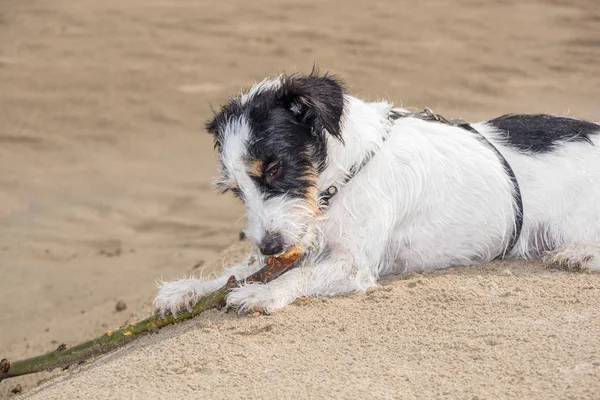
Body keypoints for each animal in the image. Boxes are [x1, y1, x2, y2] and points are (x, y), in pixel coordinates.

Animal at [154, 72, 600, 316]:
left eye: (275, 168)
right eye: (235, 189)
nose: (269, 245)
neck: (343, 177)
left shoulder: (352, 264)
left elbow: (299, 275)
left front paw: (262, 292)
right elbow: (240, 270)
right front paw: (188, 289)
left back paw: (580, 254)